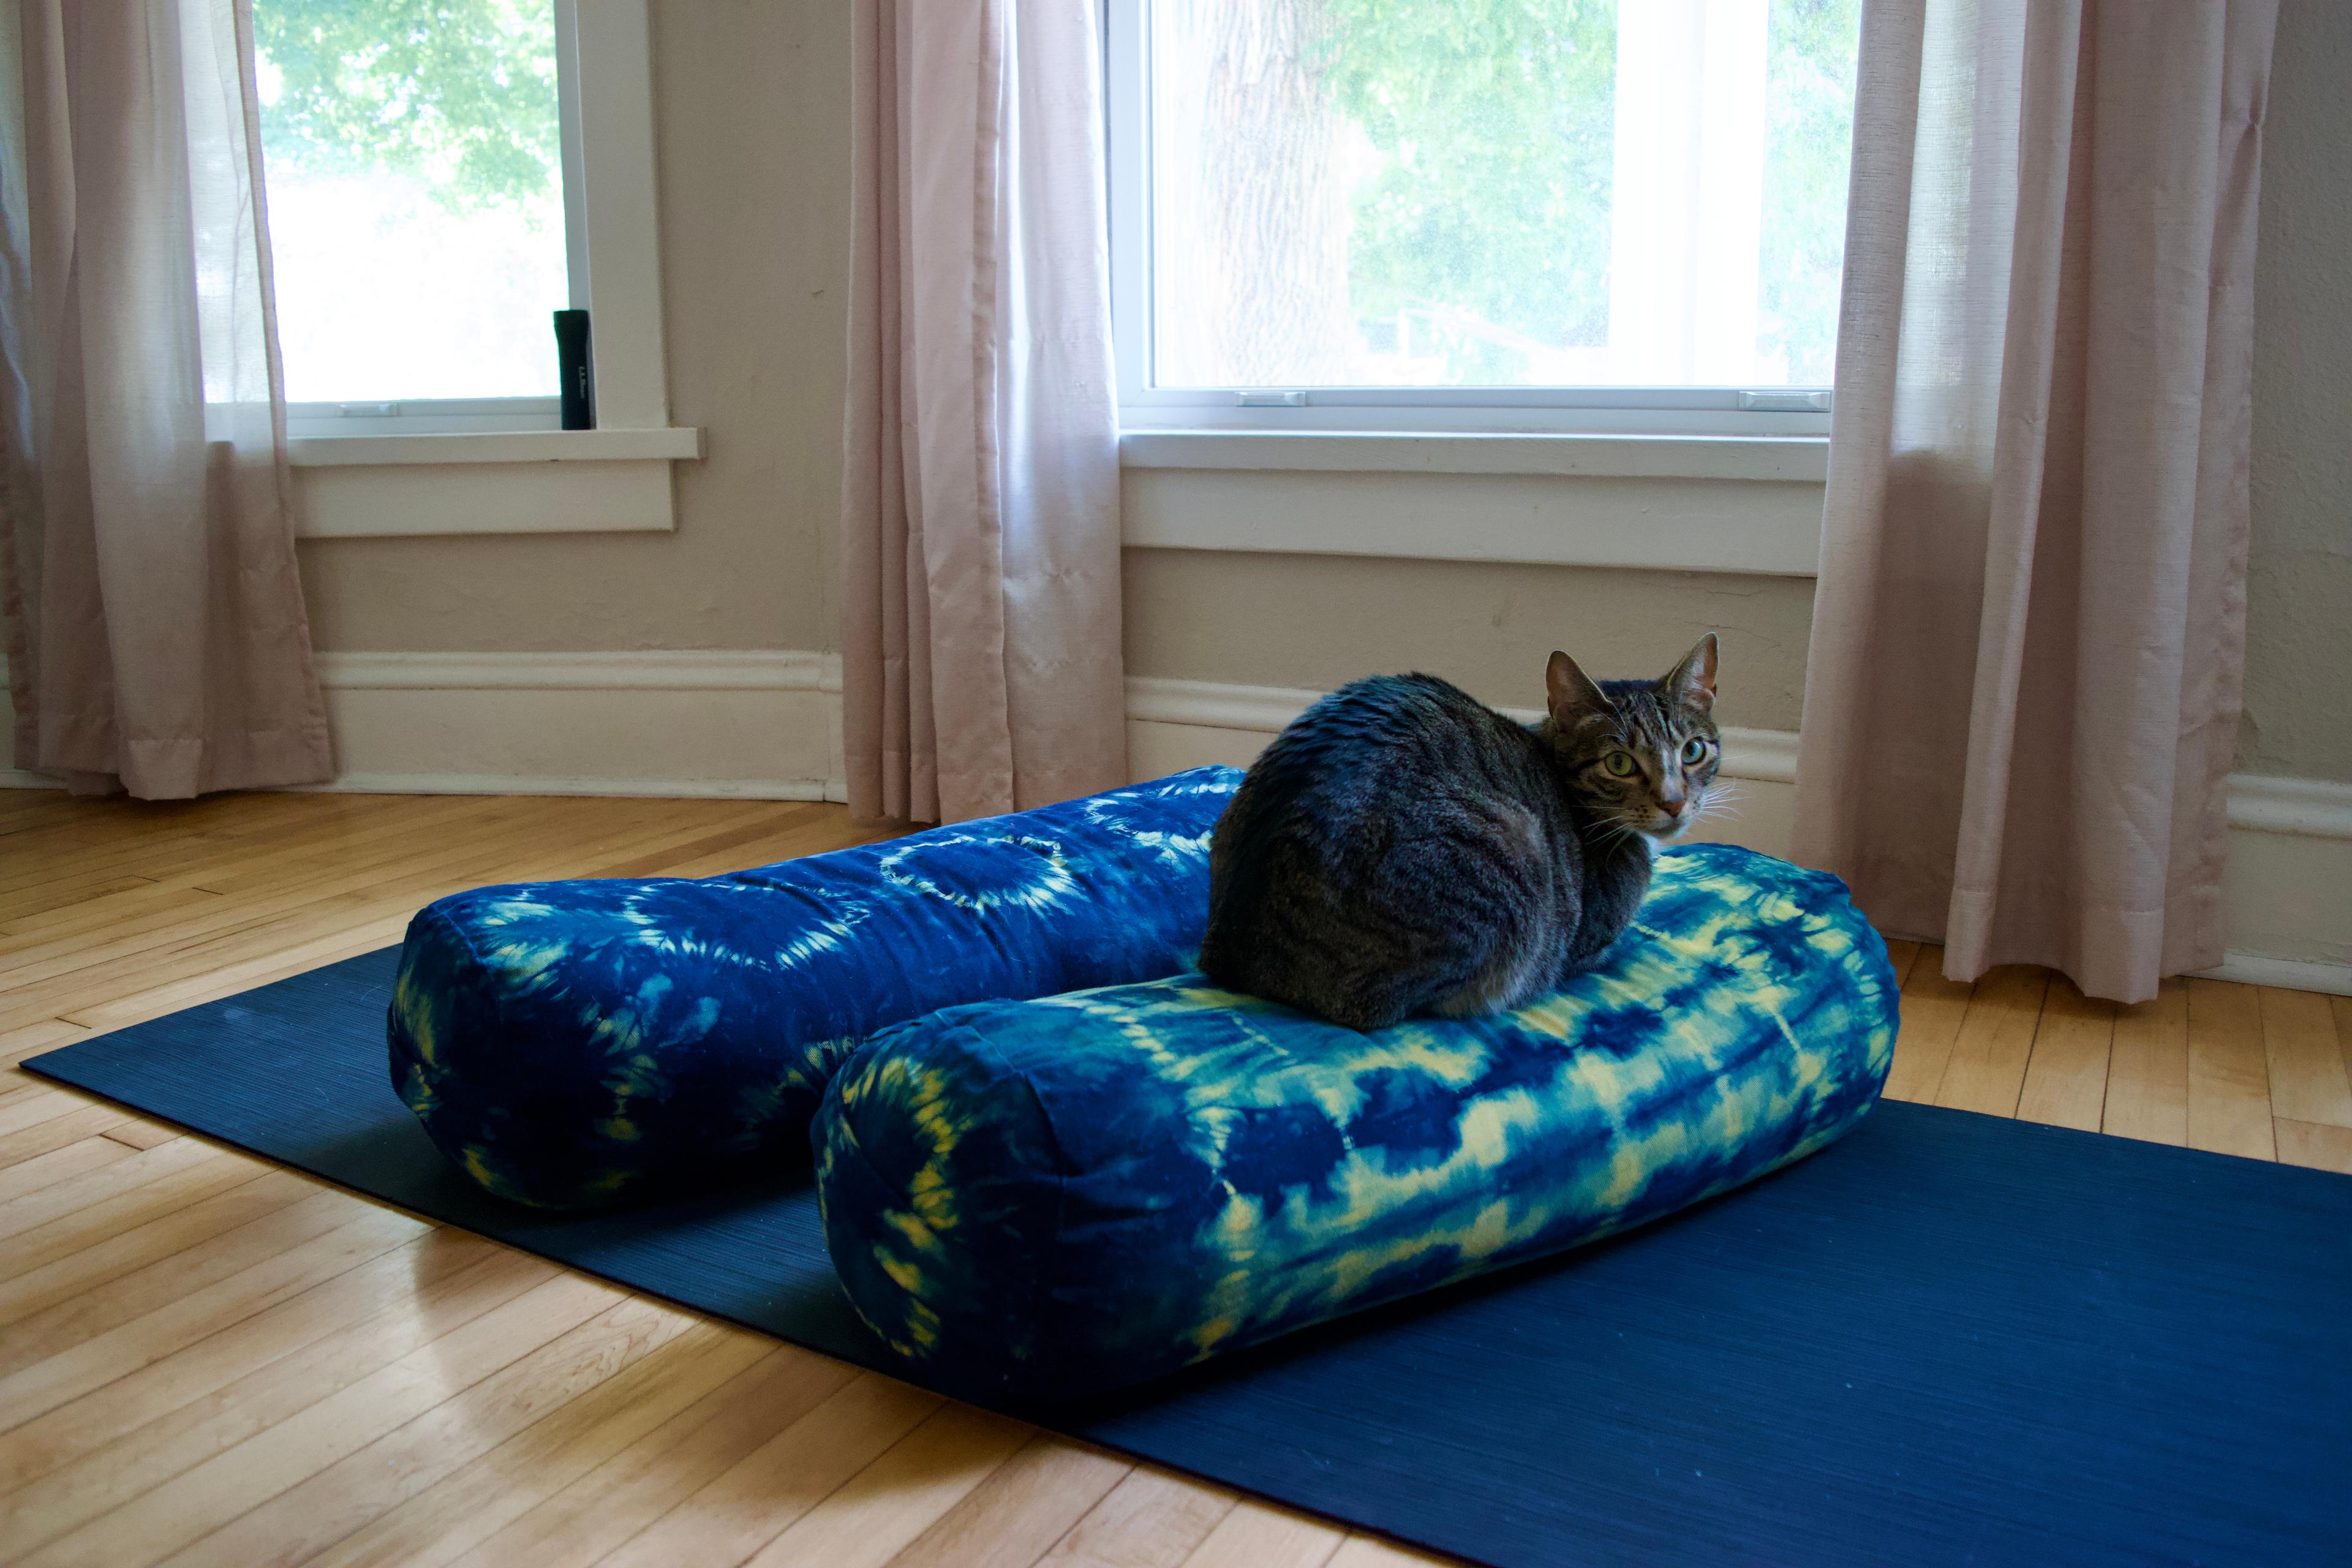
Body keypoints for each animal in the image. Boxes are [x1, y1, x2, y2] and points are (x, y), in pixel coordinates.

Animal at [1204, 635, 1721, 1030]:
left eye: (1693, 751)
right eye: (1619, 763)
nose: (1674, 802)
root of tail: (1236, 954)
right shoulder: (1586, 943)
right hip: (1513, 856)